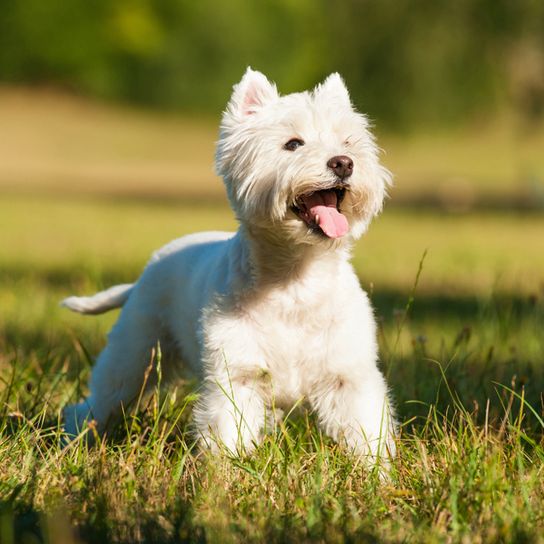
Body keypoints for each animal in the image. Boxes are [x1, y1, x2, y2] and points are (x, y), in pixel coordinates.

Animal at [62, 66, 396, 462]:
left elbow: (367, 433)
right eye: (293, 144)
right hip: (135, 355)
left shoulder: (349, 377)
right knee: (97, 403)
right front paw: (227, 473)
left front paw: (375, 472)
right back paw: (74, 441)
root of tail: (146, 272)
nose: (343, 163)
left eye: (348, 142)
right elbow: (228, 435)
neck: (296, 279)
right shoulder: (236, 377)